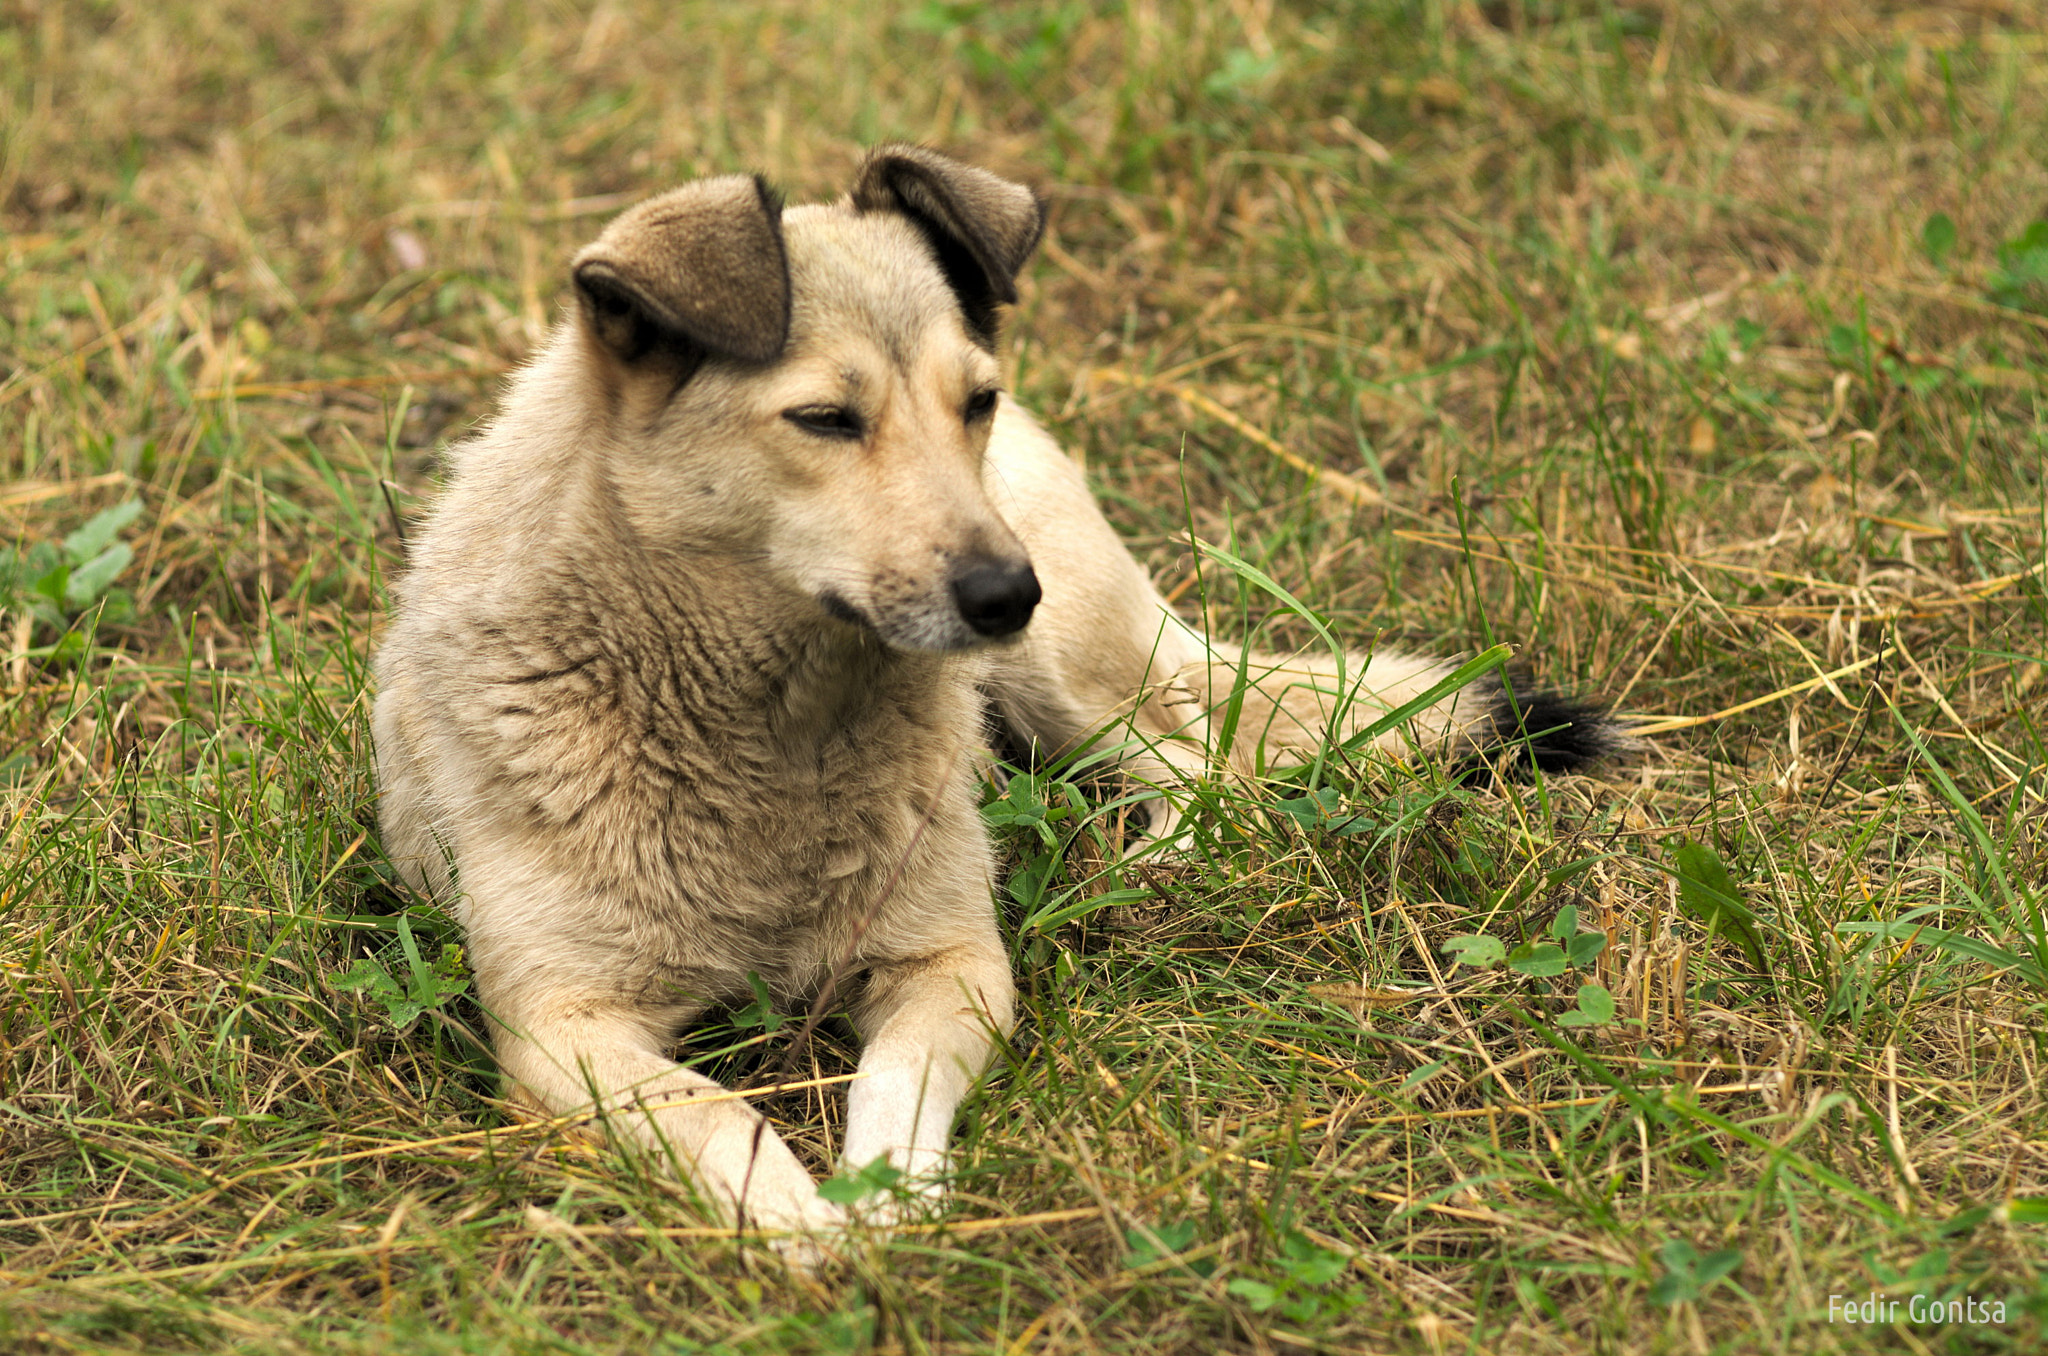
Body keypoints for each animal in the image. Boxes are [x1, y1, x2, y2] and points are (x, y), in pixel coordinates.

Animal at [364, 146, 1613, 1253]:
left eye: (973, 399)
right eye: (824, 420)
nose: (1005, 590)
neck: (774, 726)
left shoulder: (950, 965)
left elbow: (895, 1082)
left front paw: (883, 1199)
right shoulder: (559, 1024)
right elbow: (711, 1112)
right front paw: (795, 1224)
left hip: (1061, 679)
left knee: (1196, 763)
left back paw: (1138, 871)